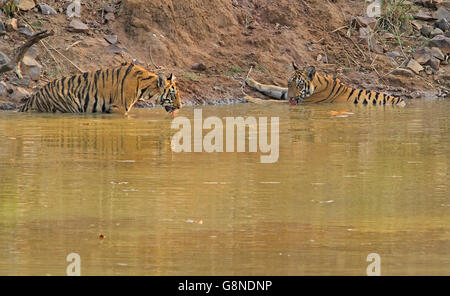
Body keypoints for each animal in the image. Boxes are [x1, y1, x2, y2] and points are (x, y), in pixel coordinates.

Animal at [246, 63, 408, 107]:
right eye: (289, 84)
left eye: (299, 85)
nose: (292, 98)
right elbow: (272, 88)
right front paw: (250, 81)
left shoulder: (303, 102)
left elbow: (271, 101)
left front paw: (249, 98)